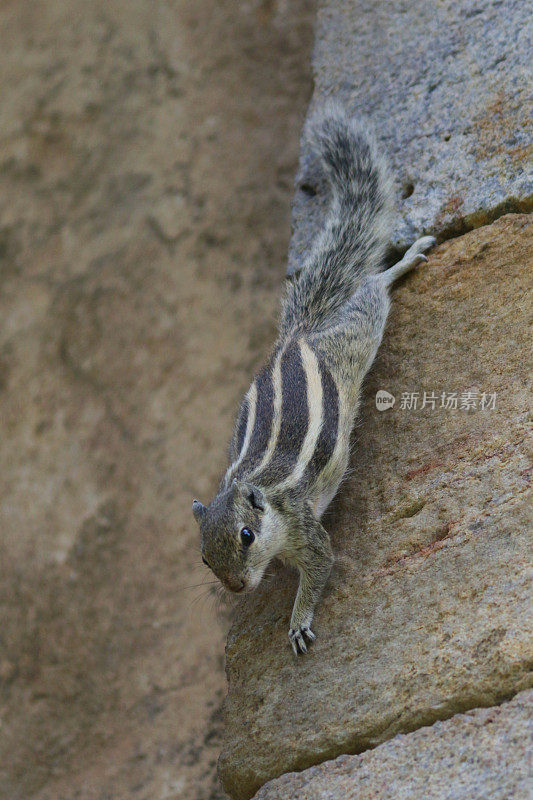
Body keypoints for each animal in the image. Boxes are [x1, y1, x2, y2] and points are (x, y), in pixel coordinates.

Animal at [191, 100, 432, 652]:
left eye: (246, 536)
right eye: (204, 557)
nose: (237, 587)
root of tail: (296, 337)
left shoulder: (304, 526)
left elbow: (321, 566)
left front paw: (298, 620)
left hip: (355, 342)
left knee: (371, 292)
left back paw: (403, 261)